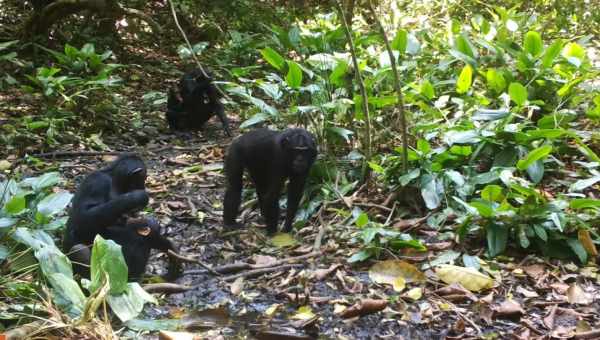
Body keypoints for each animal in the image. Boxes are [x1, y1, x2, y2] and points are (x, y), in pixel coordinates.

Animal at [63, 154, 180, 282]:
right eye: (143, 178)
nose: (143, 187)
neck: (115, 182)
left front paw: (169, 248)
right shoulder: (96, 183)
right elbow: (84, 218)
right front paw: (137, 197)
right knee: (79, 249)